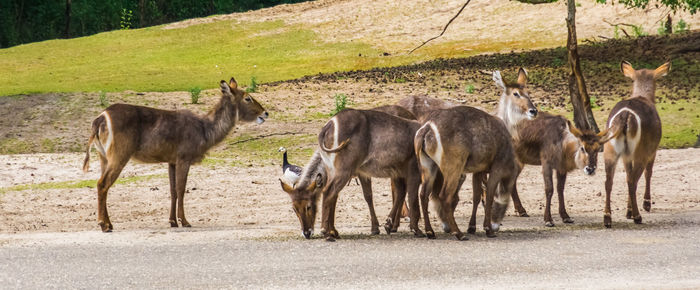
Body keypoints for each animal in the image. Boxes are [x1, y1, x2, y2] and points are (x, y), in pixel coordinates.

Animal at [82, 78, 268, 232]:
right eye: (248, 98)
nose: (265, 113)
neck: (204, 131)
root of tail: (99, 119)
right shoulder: (183, 157)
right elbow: (181, 189)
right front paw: (185, 221)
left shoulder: (171, 160)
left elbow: (172, 190)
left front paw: (172, 221)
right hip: (119, 154)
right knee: (102, 183)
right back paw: (104, 225)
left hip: (103, 156)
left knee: (102, 183)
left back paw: (109, 224)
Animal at [278, 108, 422, 240]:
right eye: (294, 209)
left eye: (308, 206)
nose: (307, 233)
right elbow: (338, 197)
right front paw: (334, 231)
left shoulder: (358, 173)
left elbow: (365, 196)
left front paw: (373, 228)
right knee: (400, 192)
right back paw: (392, 225)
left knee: (400, 192)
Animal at [412, 105, 516, 240]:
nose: (495, 226)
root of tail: (427, 127)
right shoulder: (497, 169)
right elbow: (489, 196)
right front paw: (488, 230)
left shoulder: (479, 171)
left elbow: (477, 196)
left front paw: (472, 227)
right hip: (454, 168)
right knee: (444, 195)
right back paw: (459, 234)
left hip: (429, 167)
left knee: (424, 194)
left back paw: (430, 232)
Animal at [600, 61, 668, 229]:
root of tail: (625, 116)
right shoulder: (653, 149)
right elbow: (648, 173)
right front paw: (645, 204)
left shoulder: (626, 156)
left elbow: (627, 175)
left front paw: (628, 210)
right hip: (640, 151)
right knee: (633, 180)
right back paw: (638, 216)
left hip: (610, 150)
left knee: (609, 181)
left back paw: (607, 218)